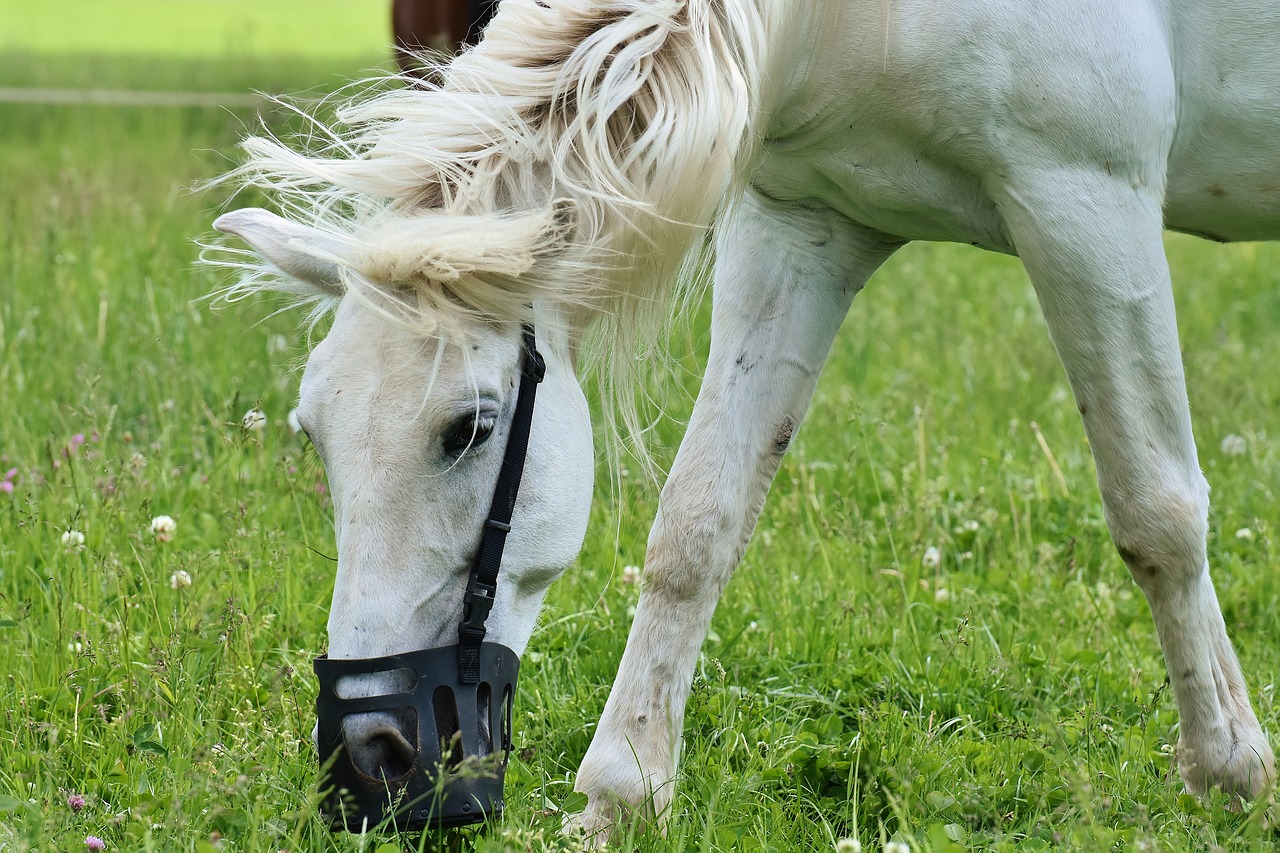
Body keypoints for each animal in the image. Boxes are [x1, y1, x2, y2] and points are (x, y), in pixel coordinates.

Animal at [215, 0, 1274, 835]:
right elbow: (697, 527)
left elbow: (1156, 512)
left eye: (467, 428)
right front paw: (624, 791)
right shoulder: (802, 227)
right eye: (313, 436)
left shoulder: (1085, 205)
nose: (368, 755)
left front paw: (1225, 767)